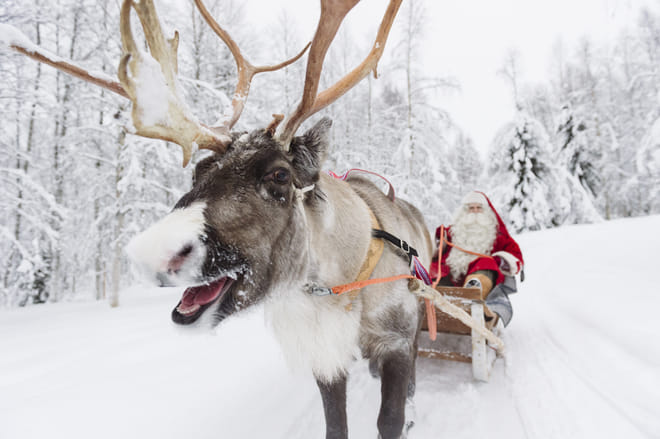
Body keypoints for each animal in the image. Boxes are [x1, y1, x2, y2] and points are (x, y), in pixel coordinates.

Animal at [7, 0, 433, 437]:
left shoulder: (397, 340)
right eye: (198, 170)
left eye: (280, 175)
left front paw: (405, 416)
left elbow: (390, 417)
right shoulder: (325, 355)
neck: (340, 283)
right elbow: (335, 426)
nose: (154, 253)